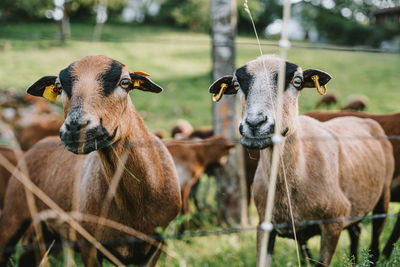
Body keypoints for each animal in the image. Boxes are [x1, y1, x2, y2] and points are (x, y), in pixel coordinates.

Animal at [0, 55, 181, 267]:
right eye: (58, 87)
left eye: (125, 82)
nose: (75, 127)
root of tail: (38, 144)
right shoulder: (88, 244)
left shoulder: (157, 243)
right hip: (14, 213)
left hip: (46, 230)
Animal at [209, 54, 394, 266]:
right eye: (236, 84)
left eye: (296, 81)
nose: (255, 124)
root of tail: (361, 119)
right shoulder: (264, 226)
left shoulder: (334, 222)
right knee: (356, 230)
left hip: (383, 197)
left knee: (375, 237)